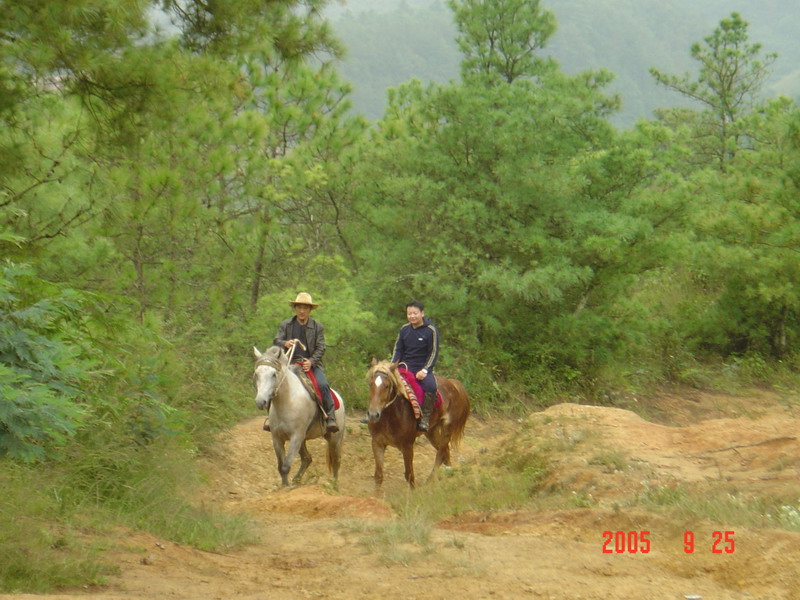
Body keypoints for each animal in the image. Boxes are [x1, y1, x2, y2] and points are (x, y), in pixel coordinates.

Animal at [253, 344, 344, 486]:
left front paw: (287, 487)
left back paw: (334, 485)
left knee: (336, 460)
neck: (287, 401)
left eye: (274, 374)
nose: (260, 401)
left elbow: (286, 466)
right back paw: (296, 480)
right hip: (304, 439)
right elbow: (281, 467)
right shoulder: (277, 438)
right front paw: (284, 486)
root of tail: (339, 398)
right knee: (307, 459)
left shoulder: (296, 437)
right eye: (257, 374)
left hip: (335, 438)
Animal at [364, 358, 468, 486]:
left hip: (447, 428)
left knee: (440, 453)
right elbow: (378, 476)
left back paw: (431, 481)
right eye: (370, 384)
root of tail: (452, 384)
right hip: (431, 432)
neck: (390, 417)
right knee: (444, 451)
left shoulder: (407, 446)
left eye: (387, 386)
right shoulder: (377, 443)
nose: (373, 414)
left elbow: (410, 476)